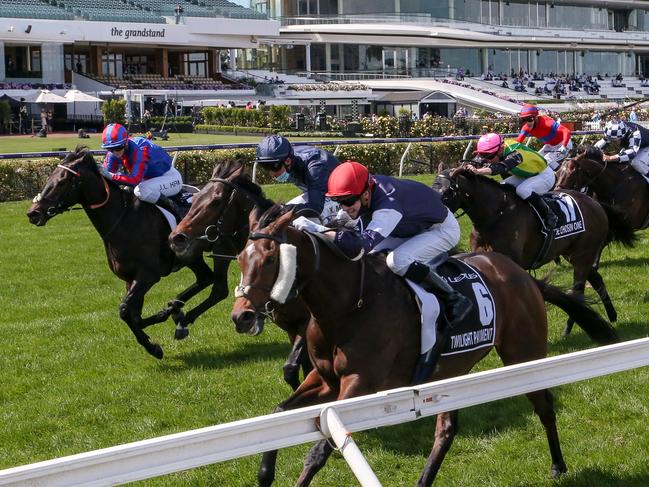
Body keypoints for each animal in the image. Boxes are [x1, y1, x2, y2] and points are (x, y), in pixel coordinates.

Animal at [27, 147, 223, 360]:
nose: (33, 213)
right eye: (49, 178)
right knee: (206, 278)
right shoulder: (130, 278)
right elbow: (134, 316)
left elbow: (124, 310)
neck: (123, 220)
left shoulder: (147, 276)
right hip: (192, 257)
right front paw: (165, 319)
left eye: (62, 181)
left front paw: (154, 347)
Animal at [168, 162, 312, 390]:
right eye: (196, 197)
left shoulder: (308, 321)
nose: (176, 238)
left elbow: (293, 369)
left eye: (216, 201)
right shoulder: (291, 324)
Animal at [230, 207, 616, 487]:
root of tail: (522, 276)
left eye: (269, 259)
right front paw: (264, 474)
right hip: (451, 371)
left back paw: (558, 465)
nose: (241, 317)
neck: (347, 304)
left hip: (524, 353)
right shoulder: (325, 381)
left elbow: (319, 451)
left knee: (544, 405)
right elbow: (279, 414)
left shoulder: (359, 384)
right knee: (446, 431)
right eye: (240, 259)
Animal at [436, 167, 632, 332]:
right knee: (596, 279)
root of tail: (596, 203)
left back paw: (569, 328)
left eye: (447, 192)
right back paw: (612, 316)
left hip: (582, 256)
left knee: (578, 290)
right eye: (432, 187)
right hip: (575, 255)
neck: (494, 215)